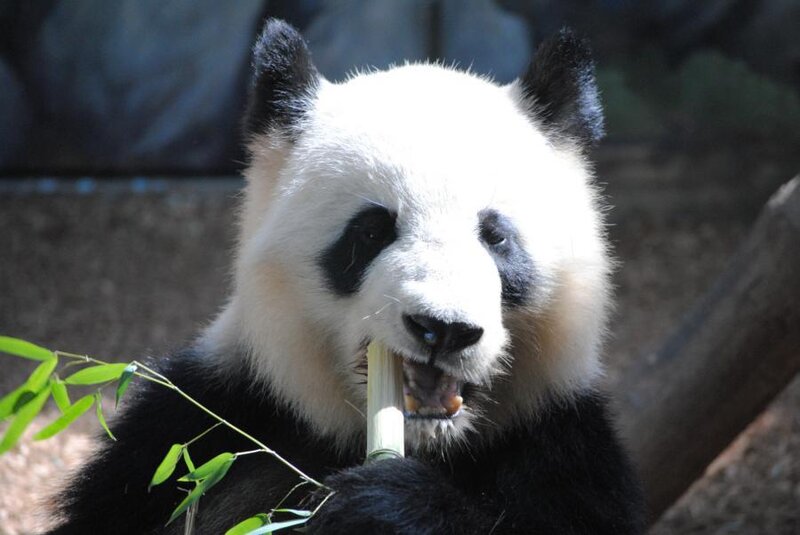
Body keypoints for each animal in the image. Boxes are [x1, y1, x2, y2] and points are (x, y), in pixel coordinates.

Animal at [50, 19, 644, 535]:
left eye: (496, 238)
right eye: (372, 230)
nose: (443, 328)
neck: (422, 442)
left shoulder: (559, 447)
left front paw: (384, 504)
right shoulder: (198, 430)